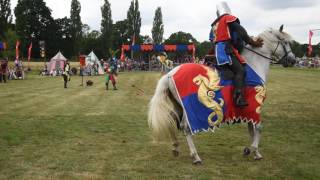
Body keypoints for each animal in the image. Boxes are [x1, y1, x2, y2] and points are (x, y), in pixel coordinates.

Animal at [148, 25, 296, 165]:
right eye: (285, 42)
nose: (293, 60)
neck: (254, 65)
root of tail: (170, 74)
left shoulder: (248, 110)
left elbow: (251, 129)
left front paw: (253, 152)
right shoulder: (255, 106)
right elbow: (258, 127)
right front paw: (253, 150)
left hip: (178, 104)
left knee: (173, 118)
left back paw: (175, 147)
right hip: (188, 108)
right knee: (186, 127)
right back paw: (195, 156)